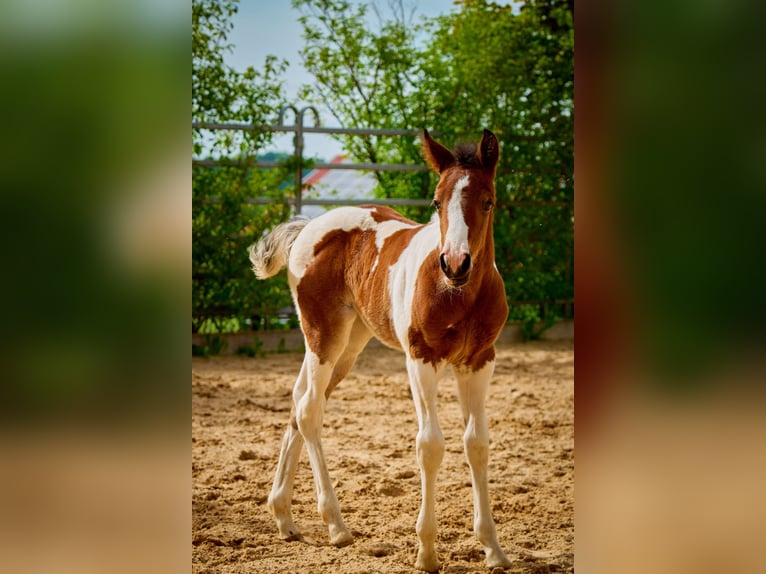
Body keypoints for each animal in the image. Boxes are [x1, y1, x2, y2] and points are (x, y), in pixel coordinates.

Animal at [252, 130, 512, 574]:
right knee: (310, 409)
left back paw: (283, 516)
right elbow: (430, 445)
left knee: (298, 402)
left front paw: (493, 548)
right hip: (324, 335)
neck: (458, 294)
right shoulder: (420, 359)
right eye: (436, 202)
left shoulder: (479, 361)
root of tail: (307, 227)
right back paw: (336, 525)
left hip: (348, 343)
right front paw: (426, 551)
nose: (455, 263)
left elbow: (476, 444)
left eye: (488, 200)